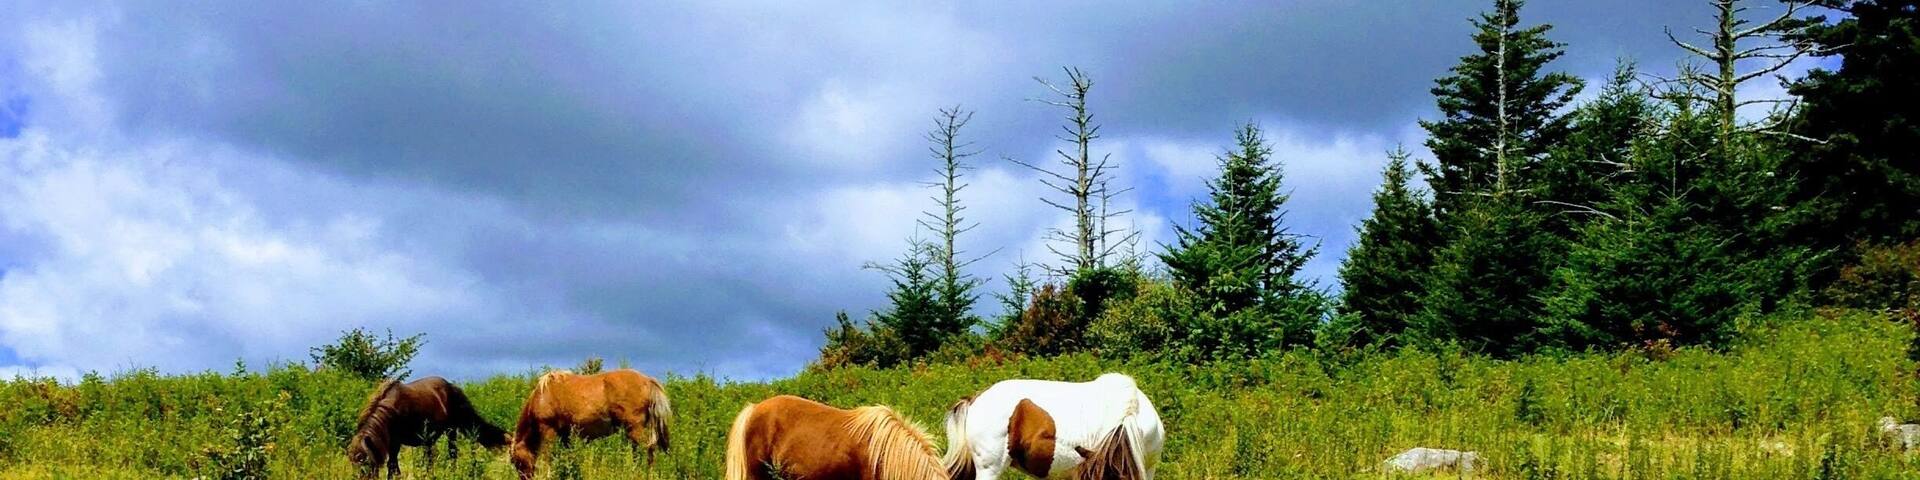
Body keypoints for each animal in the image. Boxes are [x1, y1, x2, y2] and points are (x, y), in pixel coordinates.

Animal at [346, 376, 509, 479]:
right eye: (352, 463)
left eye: (366, 461)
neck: (392, 410)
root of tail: (451, 386)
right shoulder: (393, 443)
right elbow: (393, 465)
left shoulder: (395, 443)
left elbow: (392, 466)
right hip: (428, 440)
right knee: (430, 459)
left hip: (451, 430)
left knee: (452, 453)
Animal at [510, 369, 673, 479]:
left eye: (515, 461)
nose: (525, 478)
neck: (543, 395)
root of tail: (648, 380)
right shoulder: (566, 436)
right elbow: (568, 456)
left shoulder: (548, 430)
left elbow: (547, 457)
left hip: (634, 428)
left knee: (646, 450)